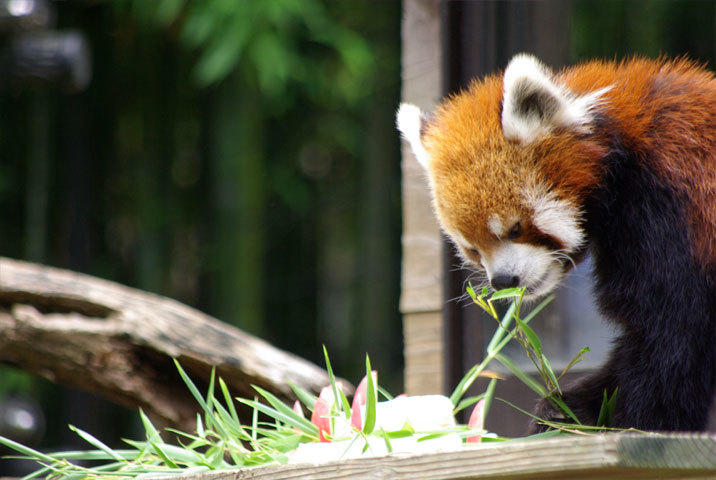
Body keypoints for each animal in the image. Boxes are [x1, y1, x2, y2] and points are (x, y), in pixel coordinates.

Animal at [398, 54, 716, 434]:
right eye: (473, 249)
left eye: (515, 228)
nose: (503, 281)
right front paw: (570, 409)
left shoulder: (668, 210)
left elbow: (671, 331)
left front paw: (634, 422)